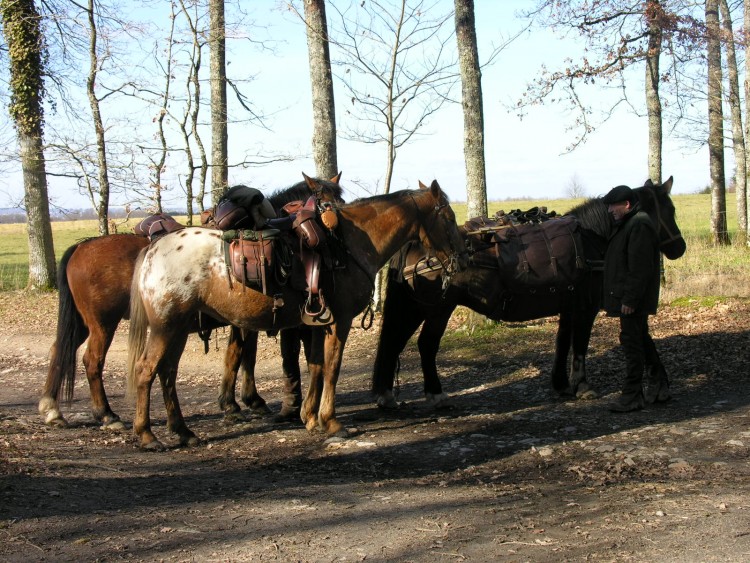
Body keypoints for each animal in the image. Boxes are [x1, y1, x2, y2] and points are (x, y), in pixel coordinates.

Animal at [39, 175, 346, 428]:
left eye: (341, 201)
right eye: (325, 204)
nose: (336, 238)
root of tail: (82, 246)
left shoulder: (242, 320)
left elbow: (240, 355)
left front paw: (239, 402)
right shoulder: (243, 320)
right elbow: (240, 355)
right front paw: (239, 403)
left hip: (83, 323)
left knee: (59, 350)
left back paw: (52, 409)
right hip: (103, 324)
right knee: (92, 360)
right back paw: (106, 414)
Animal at [129, 181, 470, 450]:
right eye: (448, 217)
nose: (463, 257)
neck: (349, 245)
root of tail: (154, 248)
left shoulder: (319, 323)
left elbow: (316, 366)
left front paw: (311, 418)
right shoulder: (340, 322)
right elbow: (331, 368)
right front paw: (331, 422)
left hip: (178, 328)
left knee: (167, 373)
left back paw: (183, 432)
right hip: (165, 327)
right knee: (146, 371)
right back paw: (147, 436)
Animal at [374, 177, 692, 410]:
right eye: (670, 211)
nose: (679, 248)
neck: (592, 240)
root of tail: (416, 242)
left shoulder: (568, 306)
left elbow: (563, 342)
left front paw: (561, 384)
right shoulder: (586, 307)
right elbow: (582, 344)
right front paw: (583, 386)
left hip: (415, 306)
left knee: (393, 342)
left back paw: (386, 395)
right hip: (438, 308)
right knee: (425, 344)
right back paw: (435, 393)